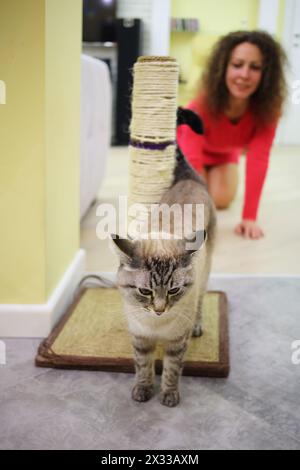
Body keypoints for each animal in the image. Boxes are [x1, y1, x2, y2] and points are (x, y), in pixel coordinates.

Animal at [111, 107, 217, 408]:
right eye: (145, 291)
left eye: (173, 290)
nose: (159, 309)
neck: (156, 326)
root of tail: (188, 177)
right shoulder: (140, 339)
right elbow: (143, 367)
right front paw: (142, 392)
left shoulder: (177, 343)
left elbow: (171, 371)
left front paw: (169, 397)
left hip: (206, 273)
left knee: (202, 300)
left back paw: (198, 325)